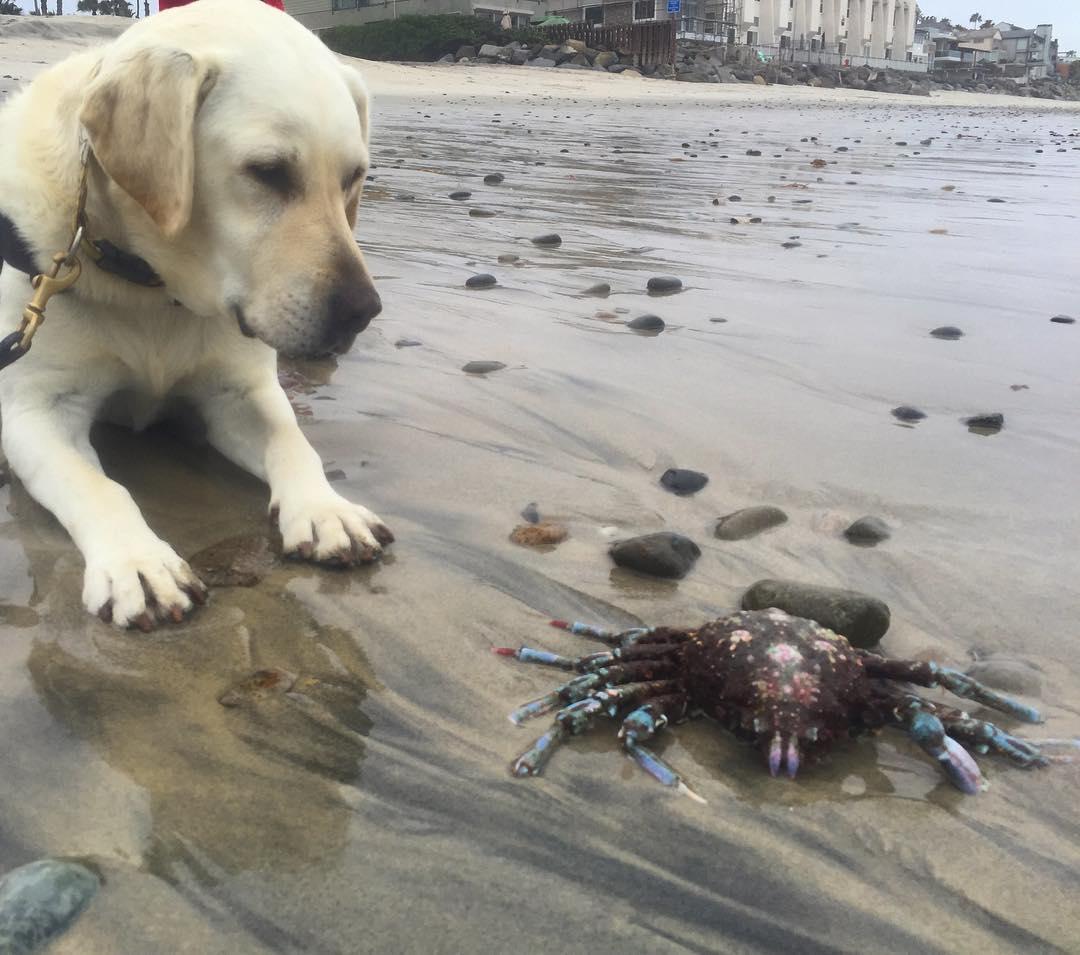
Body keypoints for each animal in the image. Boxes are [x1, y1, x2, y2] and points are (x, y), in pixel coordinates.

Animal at [0, 0, 392, 630]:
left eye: (353, 177)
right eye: (268, 171)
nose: (362, 313)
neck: (153, 292)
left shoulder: (241, 392)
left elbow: (292, 440)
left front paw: (326, 508)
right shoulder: (37, 410)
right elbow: (98, 487)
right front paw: (138, 562)